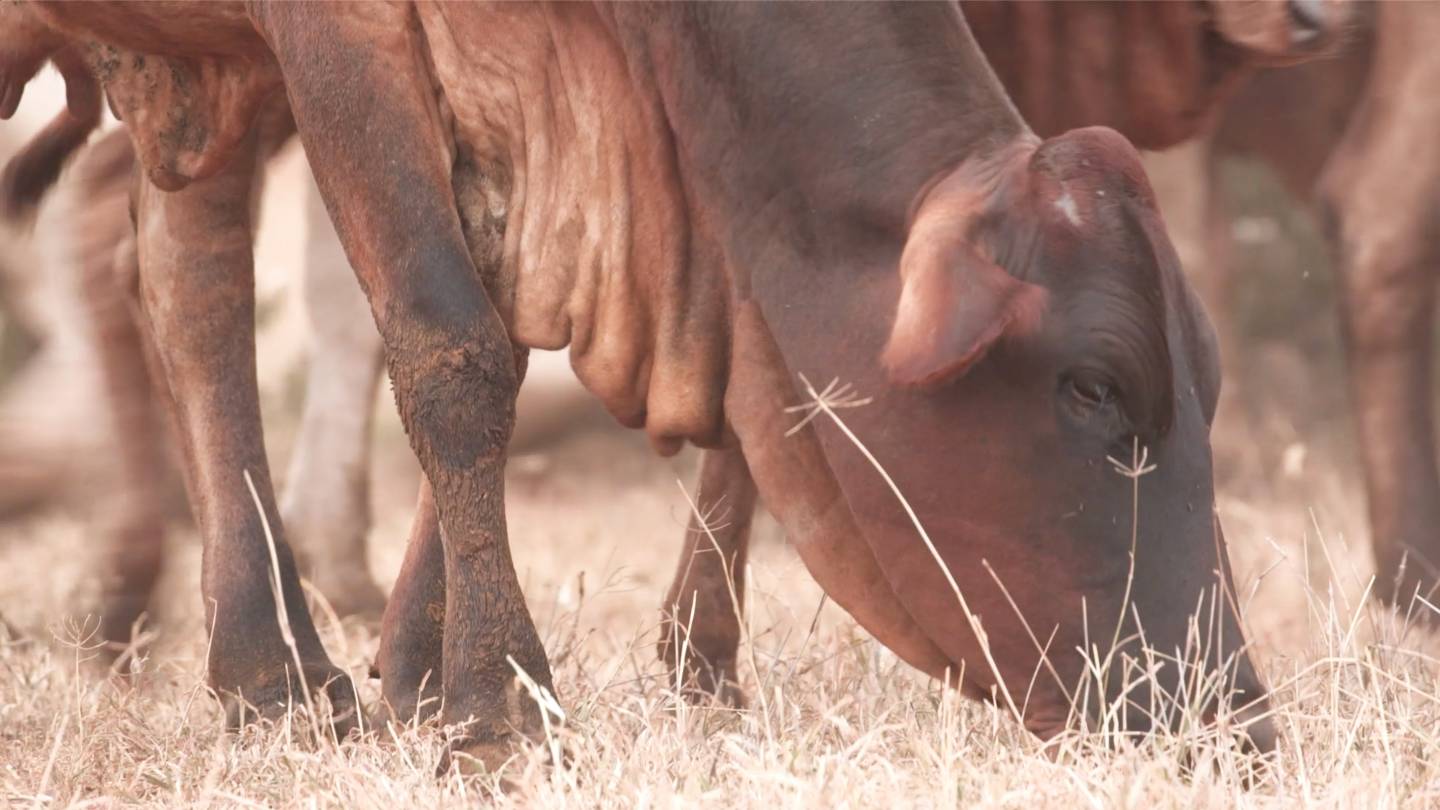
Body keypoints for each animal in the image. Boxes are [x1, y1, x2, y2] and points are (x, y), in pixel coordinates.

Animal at [7, 1, 1273, 769]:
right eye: (1095, 388)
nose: (1233, 720)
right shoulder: (340, 39)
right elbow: (454, 346)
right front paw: (499, 702)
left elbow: (526, 343)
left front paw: (424, 672)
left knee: (188, 275)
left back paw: (269, 670)